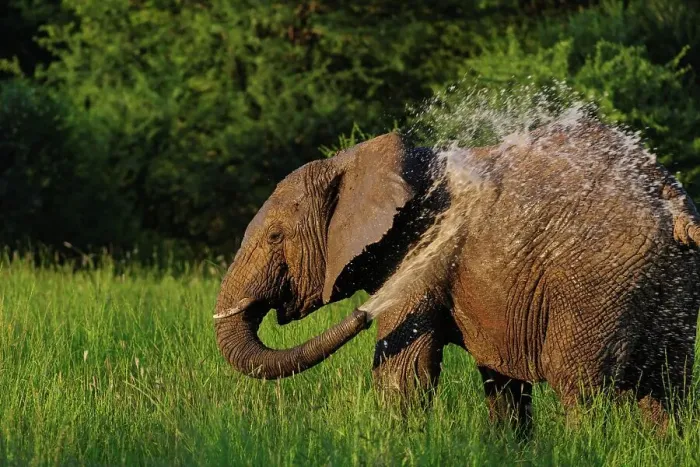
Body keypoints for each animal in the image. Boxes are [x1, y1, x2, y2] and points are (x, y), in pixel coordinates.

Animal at [213, 119, 700, 434]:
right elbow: (501, 382)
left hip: (596, 282)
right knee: (669, 387)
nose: (362, 314)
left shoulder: (416, 256)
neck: (356, 162)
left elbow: (403, 372)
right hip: (672, 278)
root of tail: (670, 198)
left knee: (579, 384)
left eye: (275, 236)